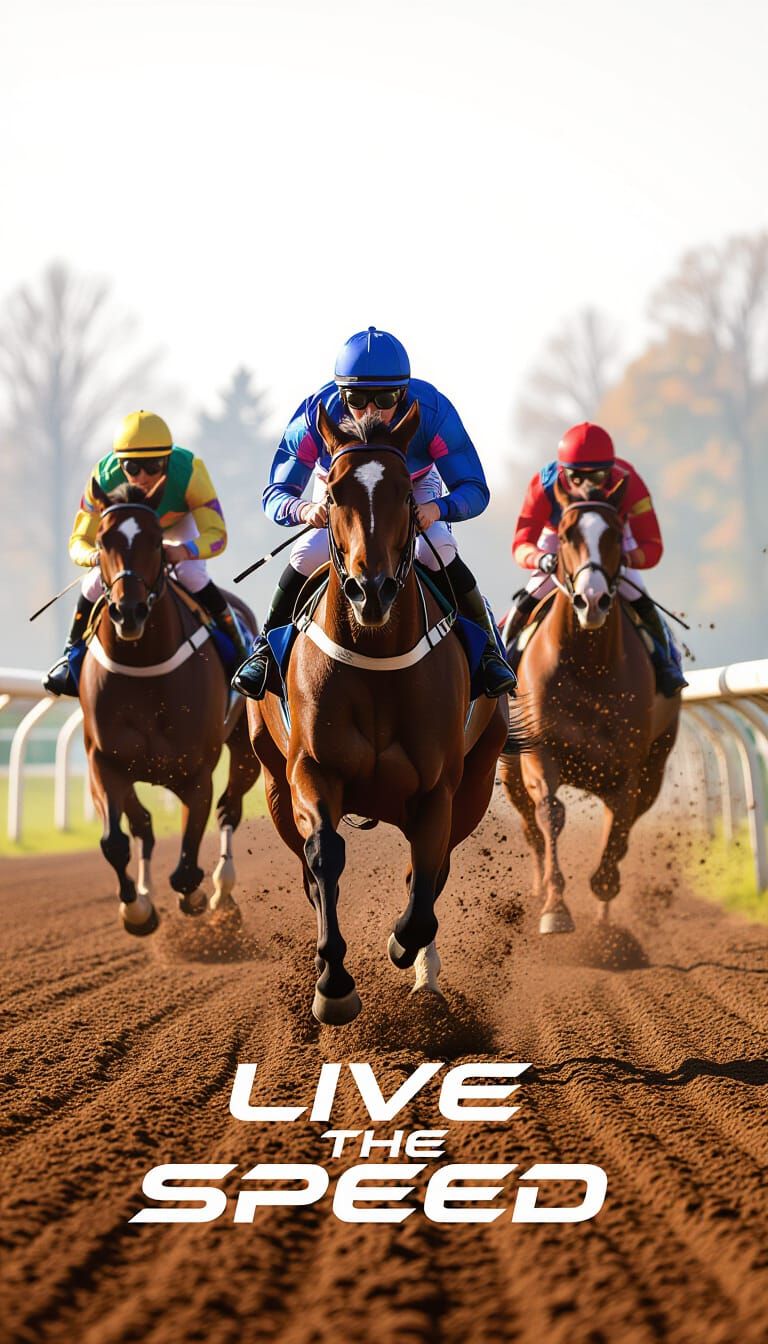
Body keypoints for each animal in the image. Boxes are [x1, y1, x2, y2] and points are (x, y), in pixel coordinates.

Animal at [80, 477, 262, 935]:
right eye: (103, 539)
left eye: (154, 541)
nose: (128, 612)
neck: (144, 668)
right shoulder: (105, 762)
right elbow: (116, 840)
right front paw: (136, 909)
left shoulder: (196, 771)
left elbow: (186, 866)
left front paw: (195, 896)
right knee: (143, 827)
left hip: (244, 753)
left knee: (229, 811)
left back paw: (223, 894)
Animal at [247, 402, 516, 1026]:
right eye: (335, 490)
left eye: (402, 491)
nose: (371, 591)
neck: (374, 658)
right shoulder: (311, 771)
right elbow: (326, 858)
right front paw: (333, 984)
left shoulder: (440, 787)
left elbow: (424, 884)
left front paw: (403, 948)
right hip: (272, 782)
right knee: (311, 871)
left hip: (477, 778)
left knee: (433, 871)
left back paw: (425, 975)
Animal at [499, 476, 681, 933]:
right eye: (566, 535)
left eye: (614, 533)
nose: (592, 600)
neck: (588, 663)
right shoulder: (540, 753)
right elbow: (551, 814)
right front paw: (555, 907)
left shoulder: (628, 769)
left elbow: (617, 833)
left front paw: (602, 894)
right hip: (510, 769)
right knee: (531, 829)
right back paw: (538, 889)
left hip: (654, 768)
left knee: (622, 827)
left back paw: (603, 916)